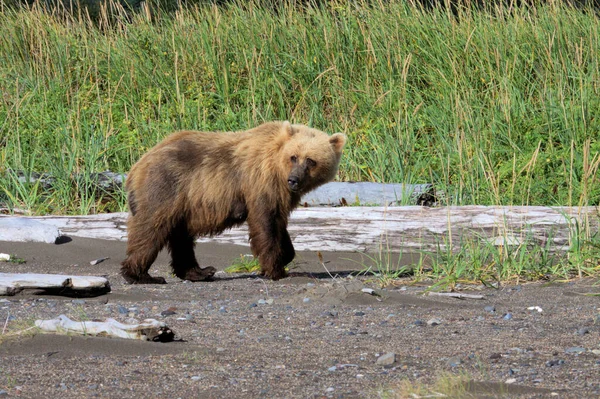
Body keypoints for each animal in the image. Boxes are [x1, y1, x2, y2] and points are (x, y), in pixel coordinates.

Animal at [120, 121, 346, 284]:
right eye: (294, 156)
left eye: (311, 160)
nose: (294, 180)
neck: (277, 168)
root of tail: (138, 164)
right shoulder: (259, 183)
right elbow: (265, 224)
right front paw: (276, 269)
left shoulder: (280, 194)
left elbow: (279, 224)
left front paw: (285, 255)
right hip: (165, 188)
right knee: (151, 229)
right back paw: (142, 275)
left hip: (184, 202)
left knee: (180, 237)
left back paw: (200, 272)